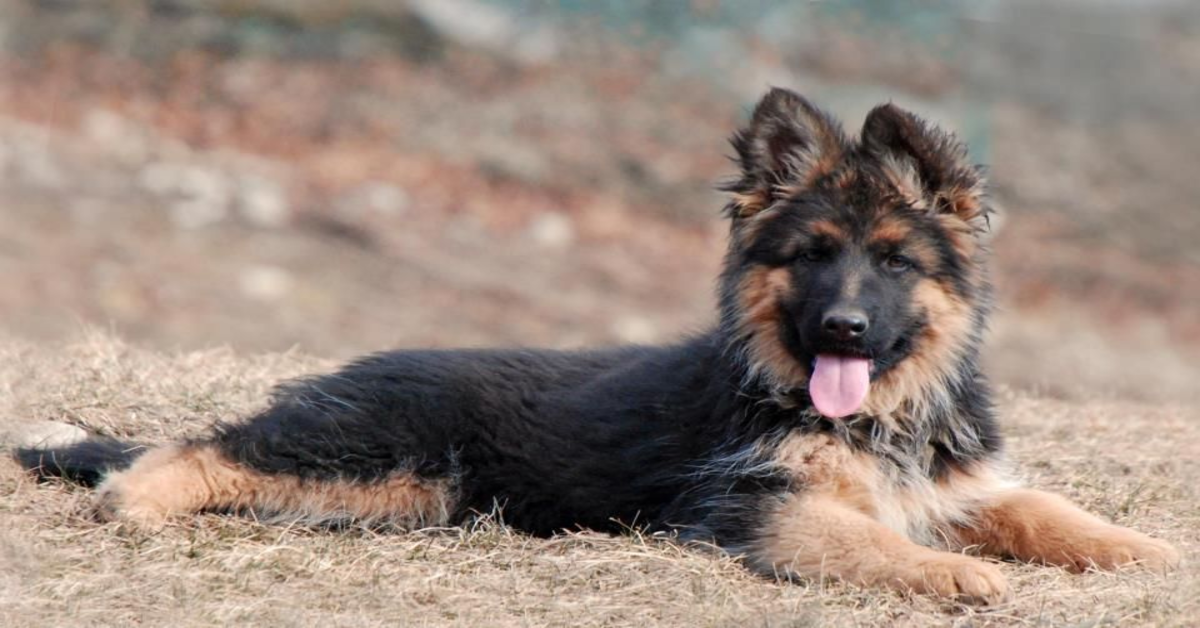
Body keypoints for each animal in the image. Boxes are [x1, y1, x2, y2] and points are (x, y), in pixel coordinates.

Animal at [16, 88, 1180, 605]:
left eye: (894, 262)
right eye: (811, 256)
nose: (844, 329)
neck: (877, 413)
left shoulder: (956, 483)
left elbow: (1044, 508)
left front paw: (1147, 551)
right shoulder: (762, 505)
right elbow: (875, 542)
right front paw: (958, 576)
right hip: (370, 454)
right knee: (187, 447)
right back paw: (133, 498)